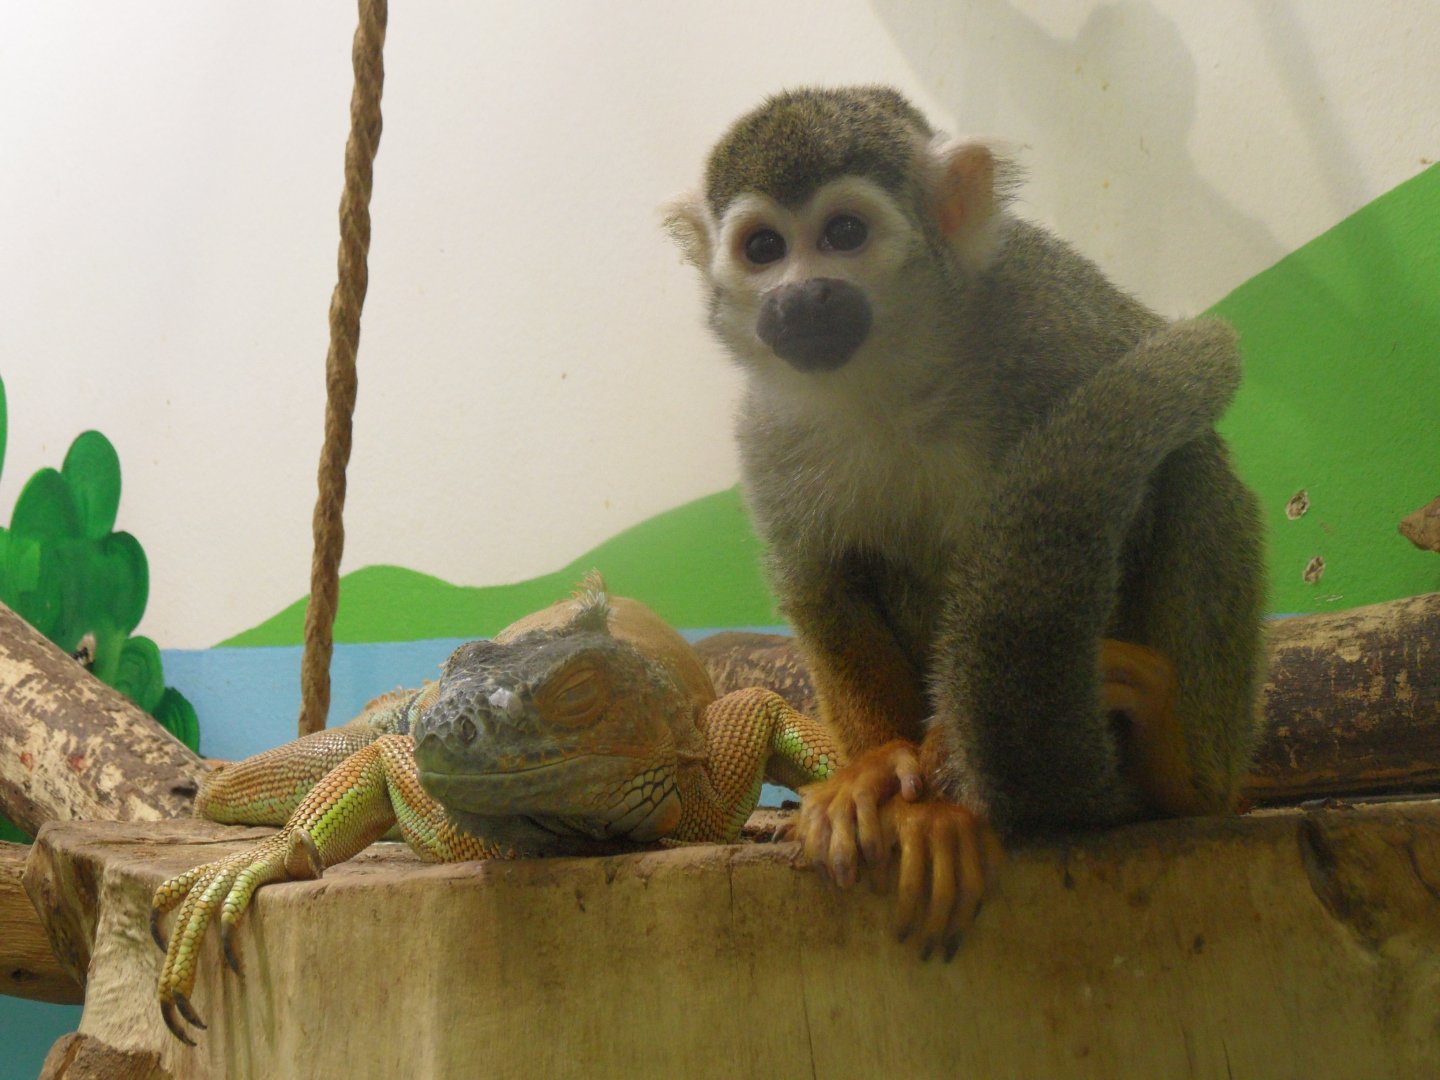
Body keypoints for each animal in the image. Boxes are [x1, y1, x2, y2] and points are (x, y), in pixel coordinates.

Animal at [664, 86, 1266, 956]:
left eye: (843, 234)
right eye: (764, 247)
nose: (799, 295)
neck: (893, 368)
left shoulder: (1053, 324)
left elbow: (1131, 503)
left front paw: (950, 797)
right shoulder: (768, 430)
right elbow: (821, 582)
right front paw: (876, 772)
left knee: (1190, 468)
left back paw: (1178, 777)